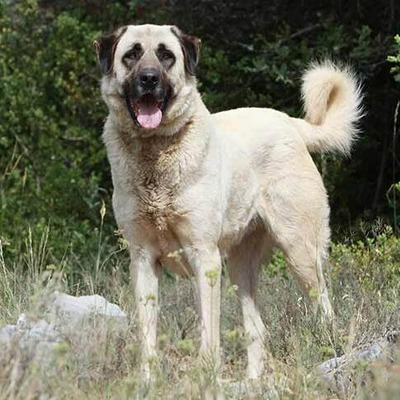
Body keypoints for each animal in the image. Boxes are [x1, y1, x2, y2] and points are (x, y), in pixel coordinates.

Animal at [94, 23, 362, 380]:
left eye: (166, 56)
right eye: (132, 54)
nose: (149, 79)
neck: (155, 154)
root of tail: (290, 122)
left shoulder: (204, 257)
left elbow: (209, 333)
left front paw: (206, 378)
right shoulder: (142, 260)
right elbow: (147, 336)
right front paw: (147, 382)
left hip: (300, 253)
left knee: (324, 309)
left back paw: (331, 354)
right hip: (240, 268)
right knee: (257, 328)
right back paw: (252, 382)